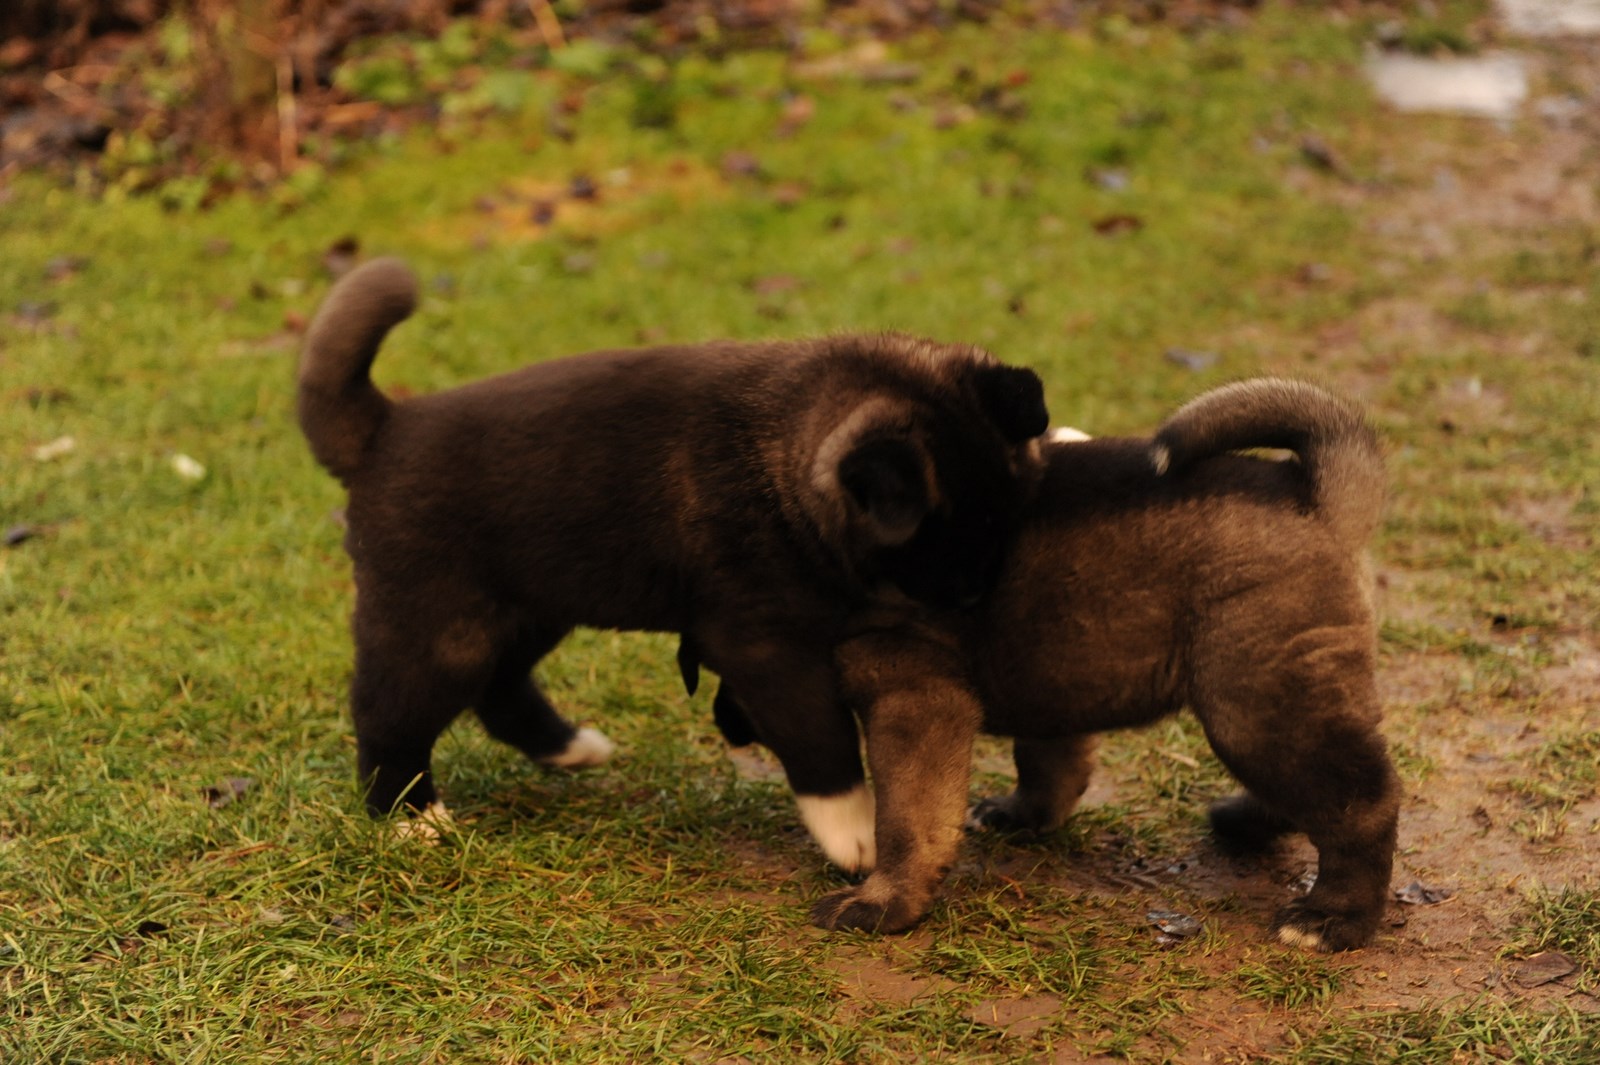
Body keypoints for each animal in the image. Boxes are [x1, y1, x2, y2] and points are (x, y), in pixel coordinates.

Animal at [299, 251, 1049, 857]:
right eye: (944, 552)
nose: (978, 597)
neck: (783, 460)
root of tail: (385, 428)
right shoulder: (764, 647)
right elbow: (821, 734)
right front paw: (855, 830)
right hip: (438, 626)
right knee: (388, 714)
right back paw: (409, 816)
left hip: (534, 605)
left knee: (499, 687)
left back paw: (567, 748)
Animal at [720, 377, 1395, 946]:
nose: (727, 726)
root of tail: (1312, 495)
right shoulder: (1049, 672)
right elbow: (1050, 759)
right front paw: (1026, 814)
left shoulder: (912, 701)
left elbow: (908, 820)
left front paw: (882, 903)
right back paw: (1247, 825)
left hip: (1254, 697)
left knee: (1359, 803)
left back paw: (1332, 918)